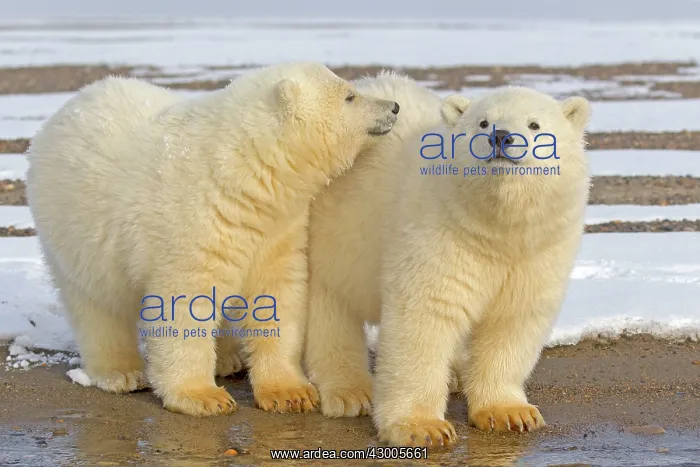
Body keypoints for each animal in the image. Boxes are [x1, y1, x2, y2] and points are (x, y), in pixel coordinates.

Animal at [26, 62, 400, 417]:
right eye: (349, 95)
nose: (394, 107)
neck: (239, 173)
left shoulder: (277, 226)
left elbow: (277, 293)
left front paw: (290, 393)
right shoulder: (193, 222)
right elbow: (186, 301)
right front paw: (203, 397)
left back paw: (227, 359)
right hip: (73, 232)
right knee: (96, 305)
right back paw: (121, 373)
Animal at [304, 77, 591, 447]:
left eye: (534, 125)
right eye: (483, 122)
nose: (501, 137)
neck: (496, 229)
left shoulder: (538, 251)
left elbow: (513, 321)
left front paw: (510, 412)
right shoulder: (440, 231)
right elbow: (425, 315)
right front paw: (422, 427)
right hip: (332, 234)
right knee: (329, 308)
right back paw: (350, 393)